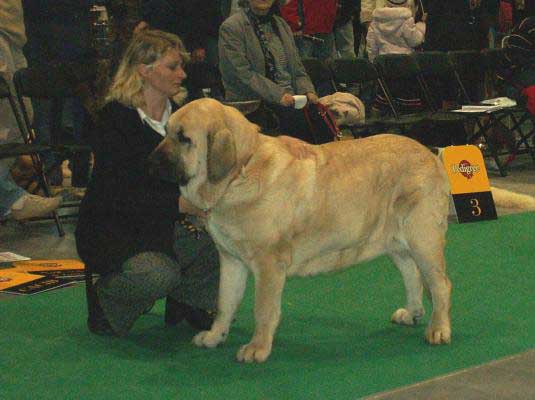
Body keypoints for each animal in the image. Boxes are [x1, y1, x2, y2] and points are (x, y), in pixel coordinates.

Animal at [150, 99, 452, 362]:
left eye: (184, 138)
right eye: (166, 132)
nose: (151, 161)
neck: (240, 172)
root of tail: (430, 155)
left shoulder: (269, 264)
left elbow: (263, 309)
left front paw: (257, 347)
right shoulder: (231, 260)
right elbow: (225, 302)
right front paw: (215, 336)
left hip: (422, 238)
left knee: (440, 284)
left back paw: (438, 329)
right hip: (395, 242)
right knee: (412, 275)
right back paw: (412, 313)